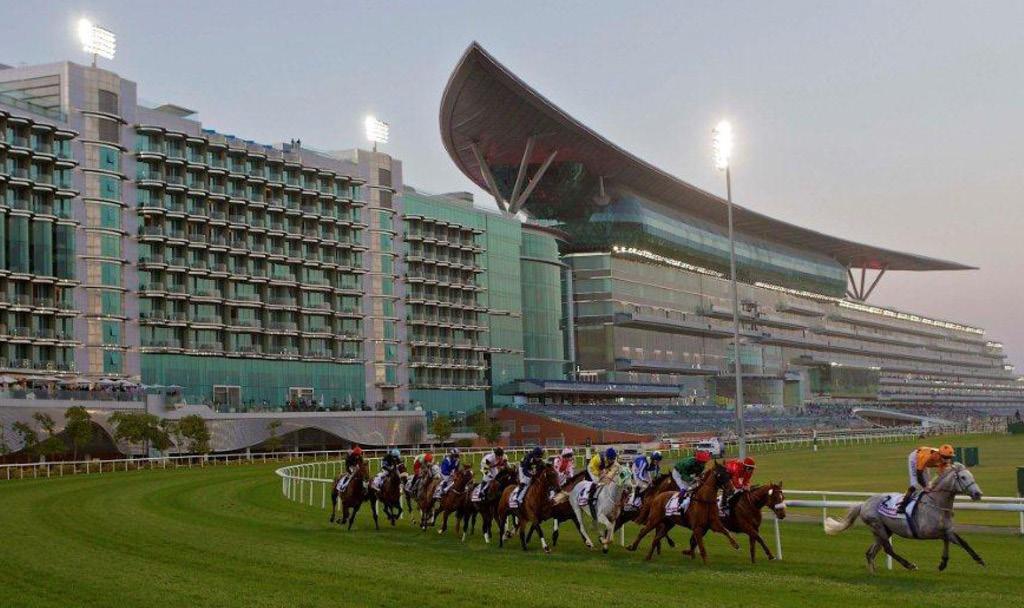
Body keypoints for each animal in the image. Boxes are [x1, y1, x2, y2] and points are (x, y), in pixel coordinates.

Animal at [824, 462, 985, 573]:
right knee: (888, 549)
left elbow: (960, 541)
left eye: (972, 476)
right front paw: (943, 562)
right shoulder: (926, 532)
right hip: (878, 526)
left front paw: (978, 559)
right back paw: (909, 565)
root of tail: (863, 504)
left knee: (871, 552)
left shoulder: (947, 529)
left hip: (883, 531)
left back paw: (873, 572)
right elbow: (945, 538)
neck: (935, 503)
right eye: (963, 477)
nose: (978, 494)